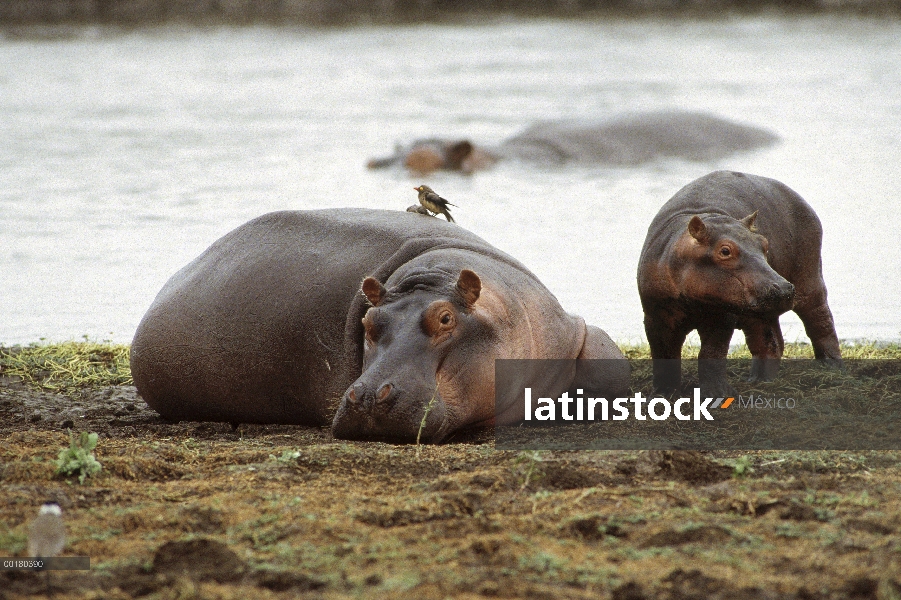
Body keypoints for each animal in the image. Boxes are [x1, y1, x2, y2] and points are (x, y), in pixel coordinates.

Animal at [636, 169, 840, 396]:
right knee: (769, 340)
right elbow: (663, 354)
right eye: (725, 250)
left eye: (764, 243)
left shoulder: (722, 316)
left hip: (809, 278)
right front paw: (661, 394)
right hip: (759, 310)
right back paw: (758, 380)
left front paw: (718, 394)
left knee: (820, 321)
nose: (783, 288)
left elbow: (712, 353)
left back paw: (831, 367)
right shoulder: (655, 315)